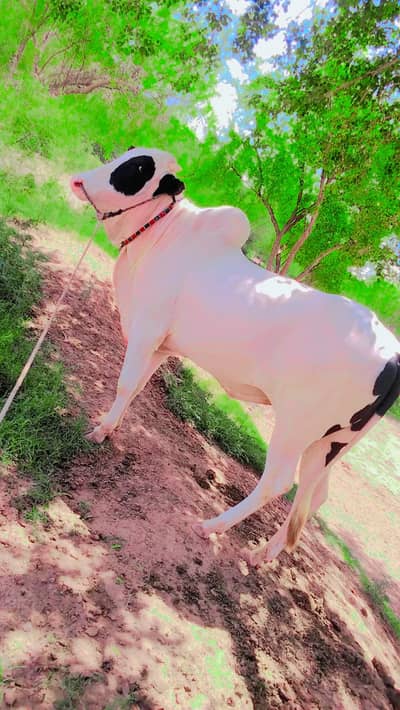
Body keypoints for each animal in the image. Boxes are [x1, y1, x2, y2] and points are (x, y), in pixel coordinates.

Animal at [70, 147, 400, 566]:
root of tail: (391, 351)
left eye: (139, 168)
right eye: (128, 155)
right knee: (315, 495)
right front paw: (110, 425)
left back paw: (213, 526)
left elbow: (126, 383)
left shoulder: (146, 329)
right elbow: (138, 386)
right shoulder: (162, 345)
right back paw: (264, 554)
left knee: (278, 482)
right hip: (332, 444)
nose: (79, 180)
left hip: (295, 428)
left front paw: (99, 433)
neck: (162, 236)